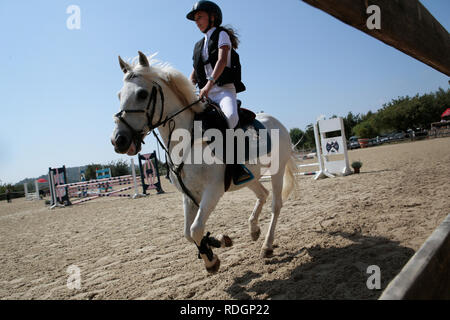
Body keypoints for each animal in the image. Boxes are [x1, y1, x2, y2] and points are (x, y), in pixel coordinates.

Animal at [111, 52, 298, 272]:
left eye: (141, 94)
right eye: (119, 95)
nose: (119, 140)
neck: (188, 141)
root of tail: (277, 122)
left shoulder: (213, 190)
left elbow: (196, 229)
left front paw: (211, 257)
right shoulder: (188, 195)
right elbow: (188, 233)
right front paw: (216, 244)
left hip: (277, 171)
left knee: (276, 205)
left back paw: (267, 246)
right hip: (250, 178)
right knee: (263, 194)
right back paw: (253, 229)